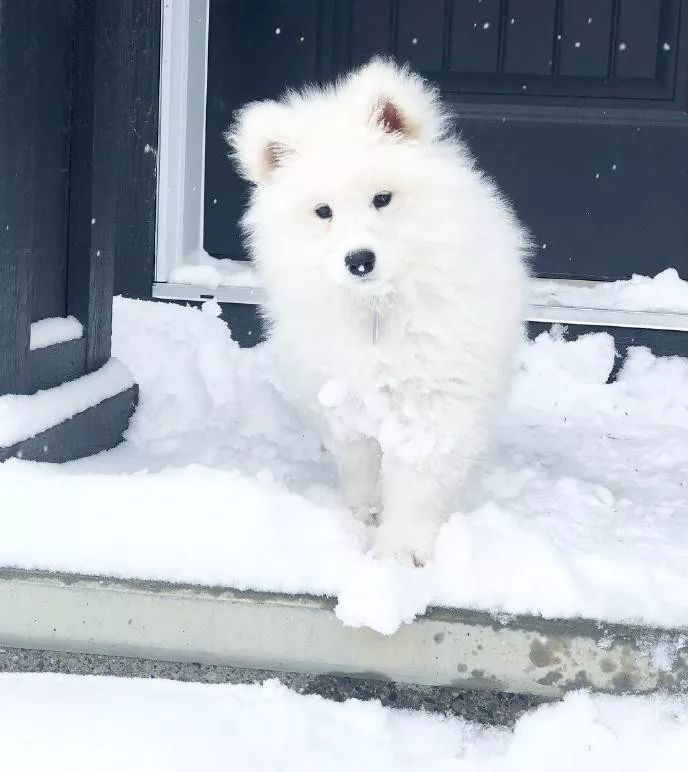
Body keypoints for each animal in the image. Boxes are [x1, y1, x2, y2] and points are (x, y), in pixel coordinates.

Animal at [228, 58, 528, 568]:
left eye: (382, 199)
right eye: (323, 211)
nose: (359, 260)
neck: (379, 305)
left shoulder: (433, 399)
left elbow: (418, 481)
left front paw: (400, 552)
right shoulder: (346, 396)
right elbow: (361, 462)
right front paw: (364, 516)